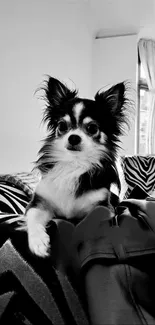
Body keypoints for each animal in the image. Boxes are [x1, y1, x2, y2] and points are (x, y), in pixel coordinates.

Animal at [25, 76, 130, 256]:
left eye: (92, 128)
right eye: (62, 126)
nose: (73, 137)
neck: (75, 163)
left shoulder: (105, 207)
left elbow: (93, 217)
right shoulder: (39, 204)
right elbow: (33, 218)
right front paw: (38, 242)